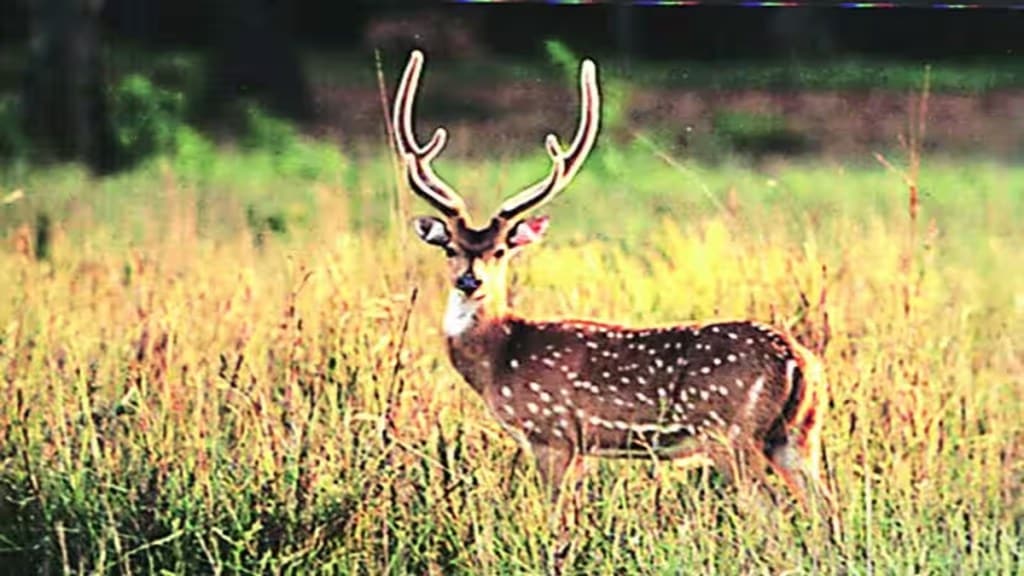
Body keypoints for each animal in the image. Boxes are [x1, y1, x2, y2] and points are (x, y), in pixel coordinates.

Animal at [391, 51, 831, 512]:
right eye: (450, 248)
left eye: (501, 251)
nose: (470, 281)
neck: (499, 358)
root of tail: (799, 361)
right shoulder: (581, 448)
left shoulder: (552, 432)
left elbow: (555, 516)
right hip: (799, 434)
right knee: (825, 510)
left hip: (731, 433)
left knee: (772, 510)